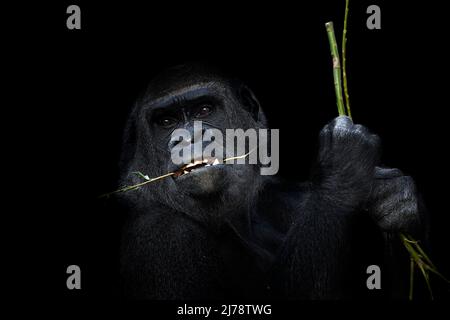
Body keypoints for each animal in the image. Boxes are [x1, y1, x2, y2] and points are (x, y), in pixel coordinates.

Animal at [118, 64, 428, 300]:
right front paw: (343, 166)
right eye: (166, 122)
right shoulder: (162, 234)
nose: (187, 136)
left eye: (204, 110)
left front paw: (397, 201)